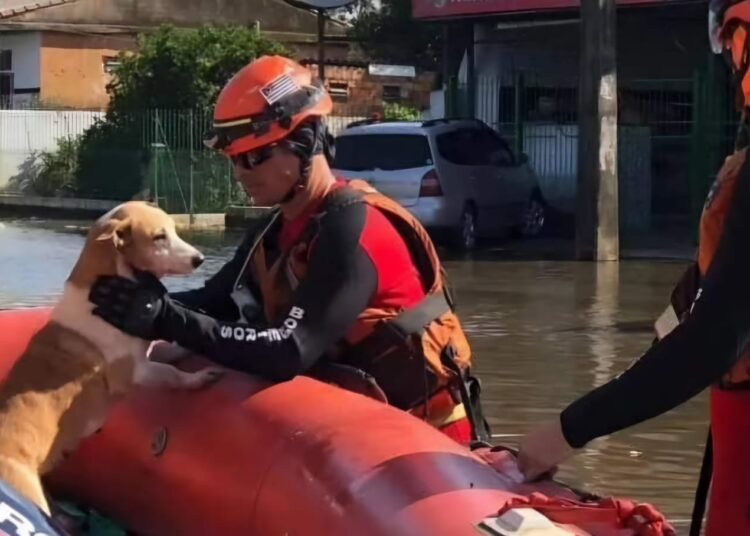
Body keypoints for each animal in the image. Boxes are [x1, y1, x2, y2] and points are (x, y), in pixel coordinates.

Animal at [0, 202, 223, 516]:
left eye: (174, 229)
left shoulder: (144, 350)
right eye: (159, 237)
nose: (199, 260)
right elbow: (172, 373)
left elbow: (167, 349)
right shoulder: (137, 372)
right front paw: (199, 379)